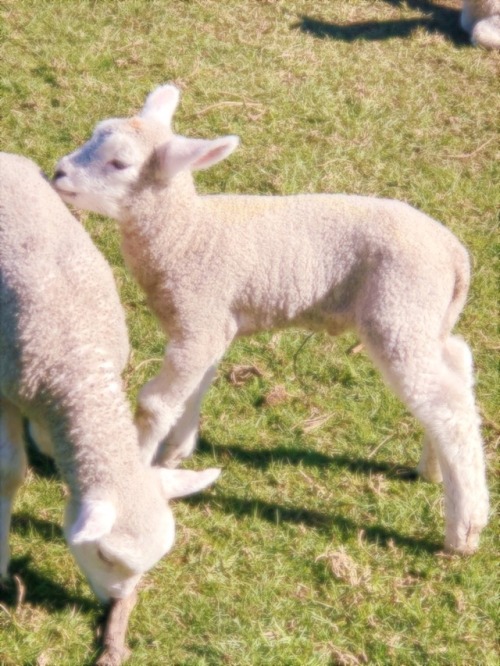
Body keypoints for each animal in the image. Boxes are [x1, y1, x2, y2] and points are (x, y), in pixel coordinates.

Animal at [52, 83, 490, 552]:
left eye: (119, 163)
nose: (58, 172)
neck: (184, 233)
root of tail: (455, 255)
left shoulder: (199, 316)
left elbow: (155, 403)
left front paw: (135, 466)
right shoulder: (213, 323)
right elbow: (198, 384)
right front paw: (176, 452)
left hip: (399, 308)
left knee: (449, 409)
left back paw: (464, 530)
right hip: (425, 315)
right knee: (456, 366)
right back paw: (434, 469)